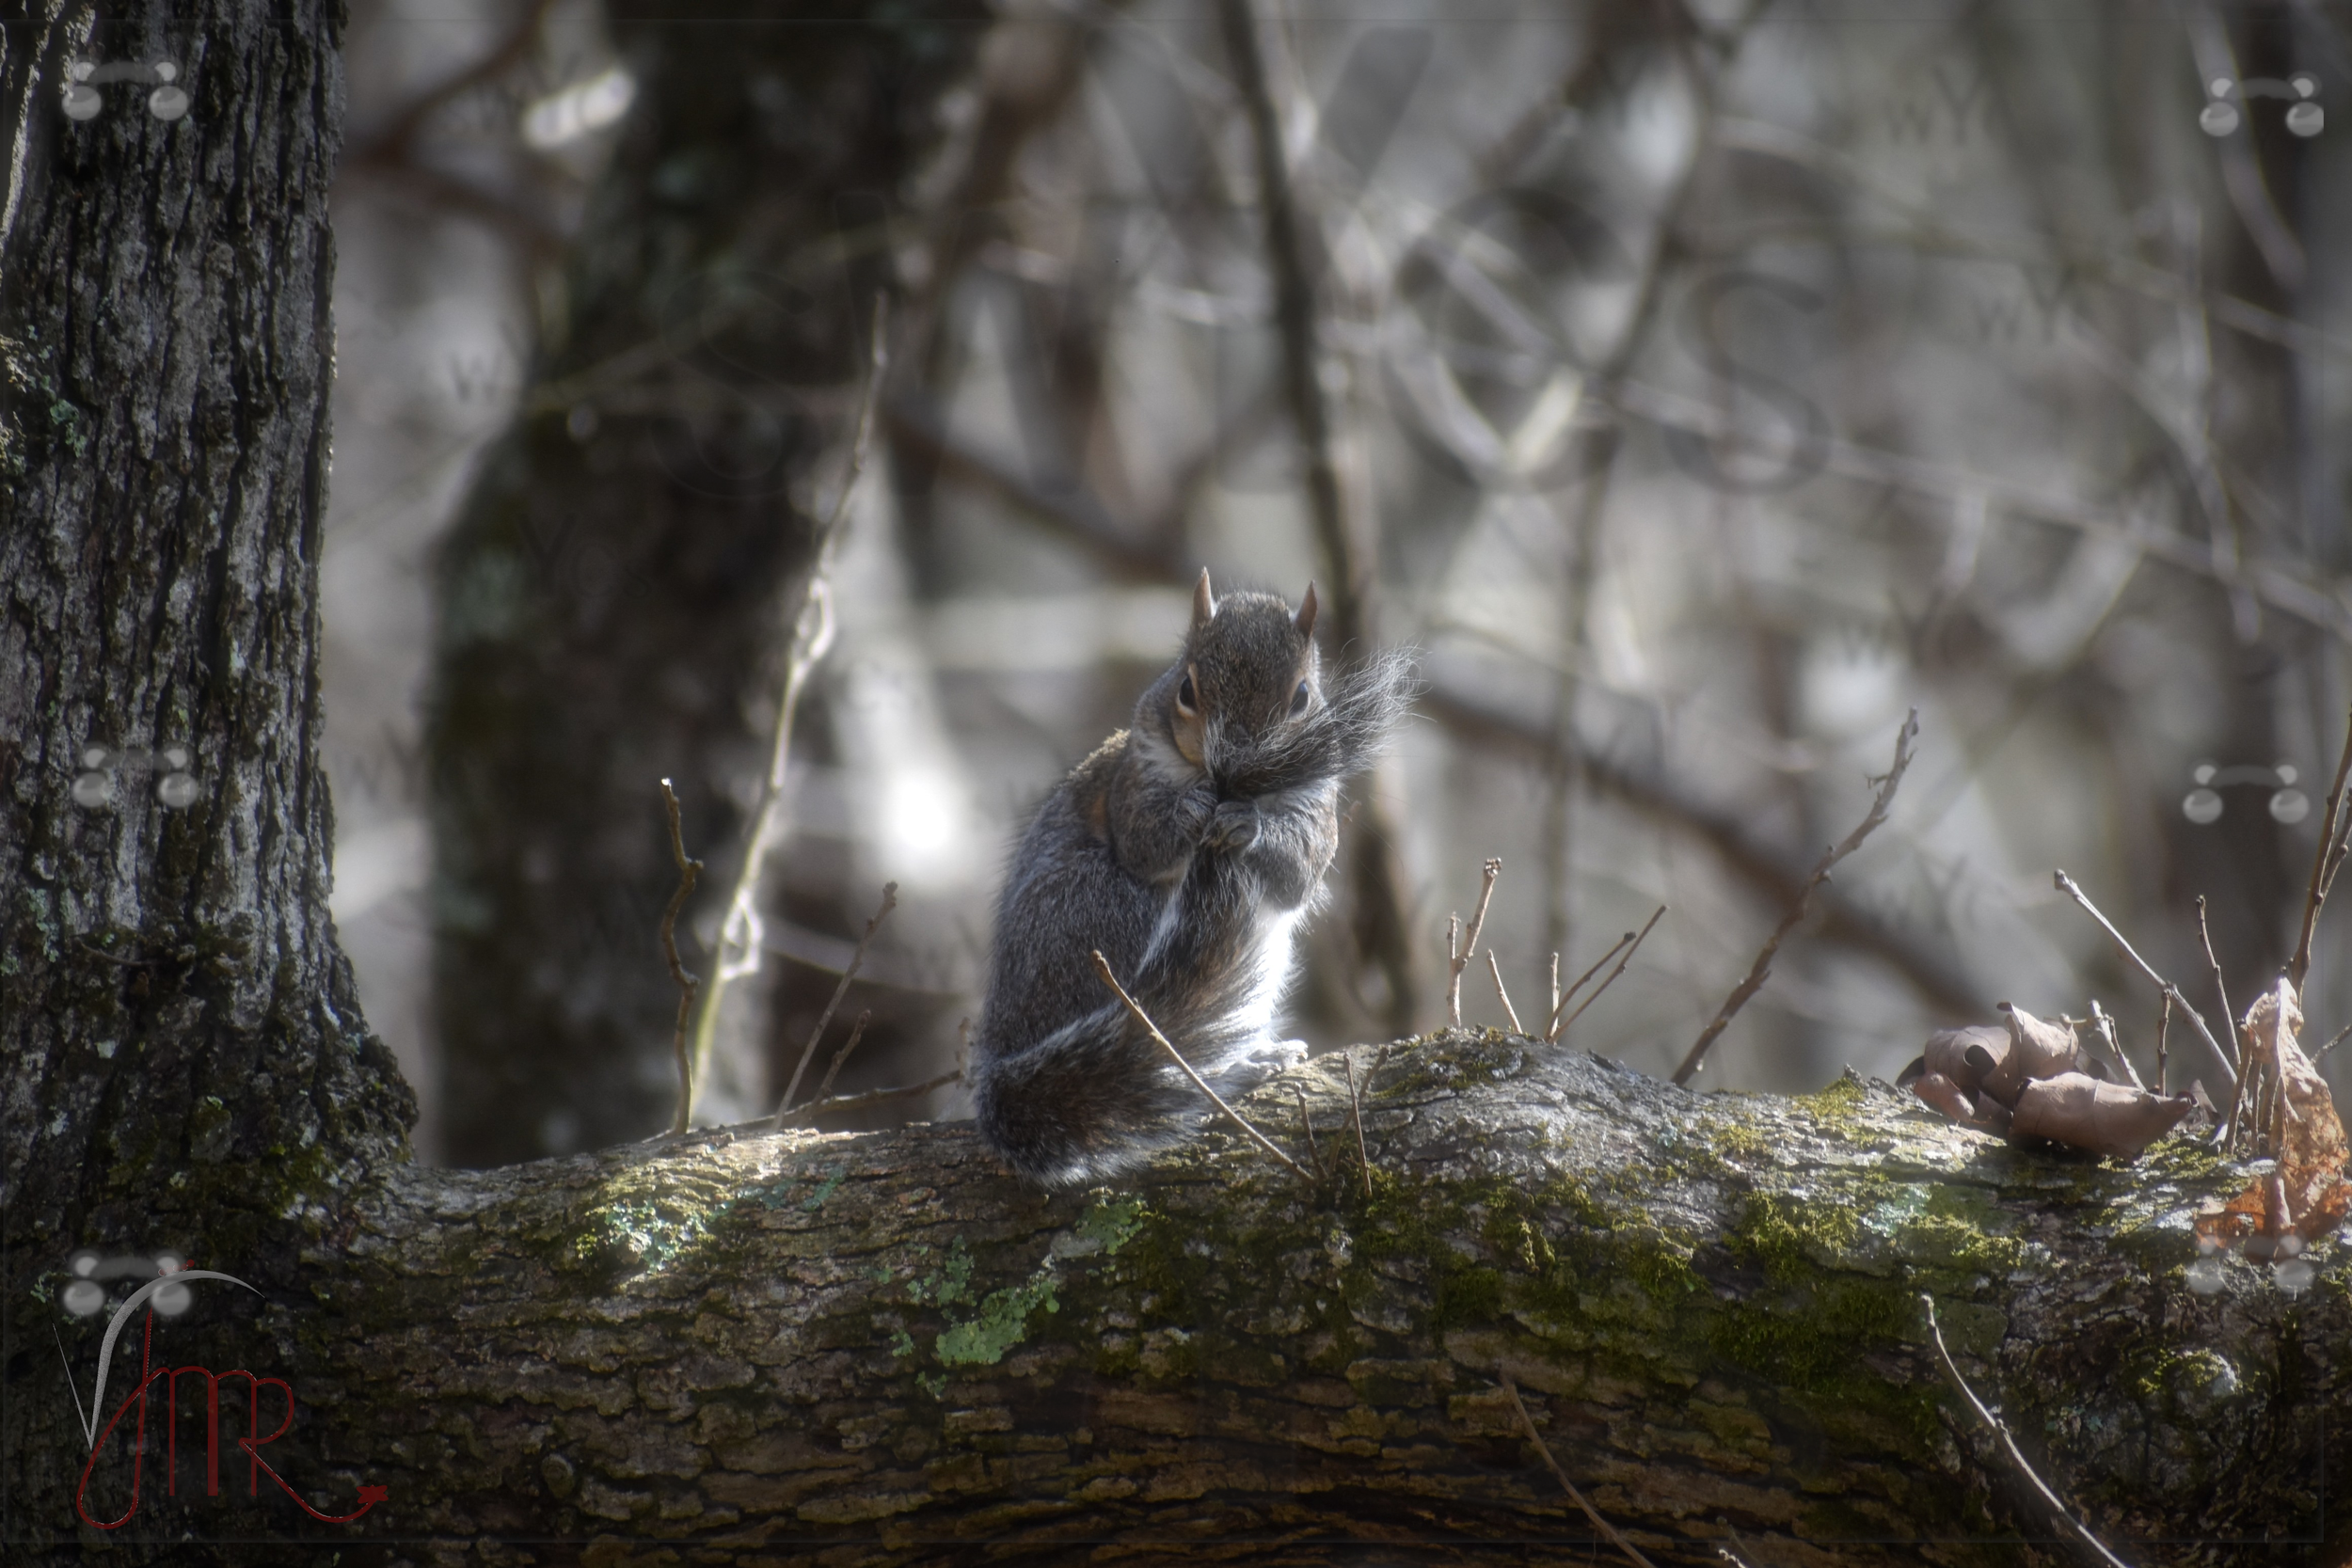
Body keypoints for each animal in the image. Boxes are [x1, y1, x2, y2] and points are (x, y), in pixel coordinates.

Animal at [970, 570, 1411, 1187]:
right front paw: (1191, 812)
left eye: (1301, 697)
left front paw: (1248, 826)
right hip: (1102, 919)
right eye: (1186, 689)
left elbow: (1297, 874)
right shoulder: (1131, 781)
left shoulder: (1318, 806)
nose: (1230, 769)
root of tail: (1002, 1048)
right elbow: (1144, 839)